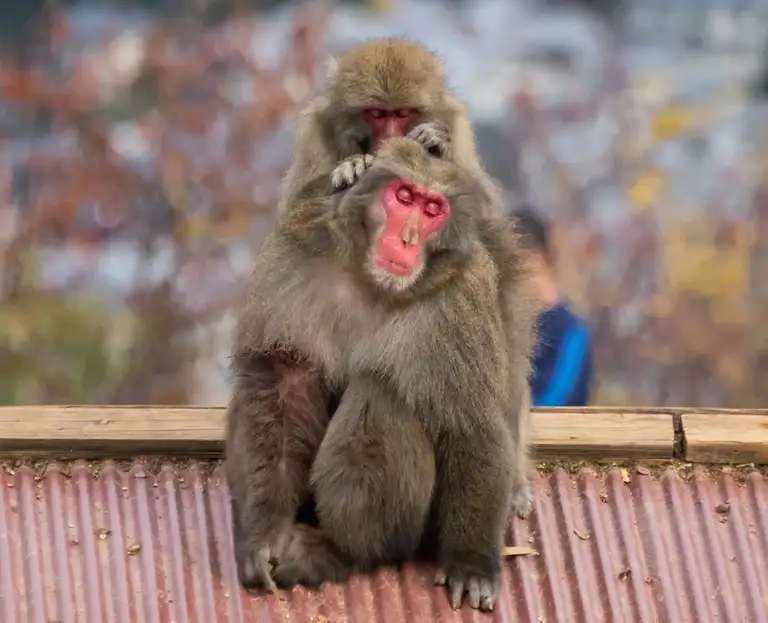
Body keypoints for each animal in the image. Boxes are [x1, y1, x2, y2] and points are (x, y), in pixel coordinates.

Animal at [225, 136, 538, 611]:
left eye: (433, 210)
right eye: (403, 197)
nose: (407, 237)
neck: (369, 282)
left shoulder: (461, 298)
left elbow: (472, 424)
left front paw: (471, 564)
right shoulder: (295, 249)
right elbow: (281, 378)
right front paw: (265, 534)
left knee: (382, 395)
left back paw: (342, 551)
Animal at [275, 37, 503, 220]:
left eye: (402, 113)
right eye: (377, 113)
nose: (390, 137)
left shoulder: (457, 125)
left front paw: (438, 142)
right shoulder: (314, 130)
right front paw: (353, 165)